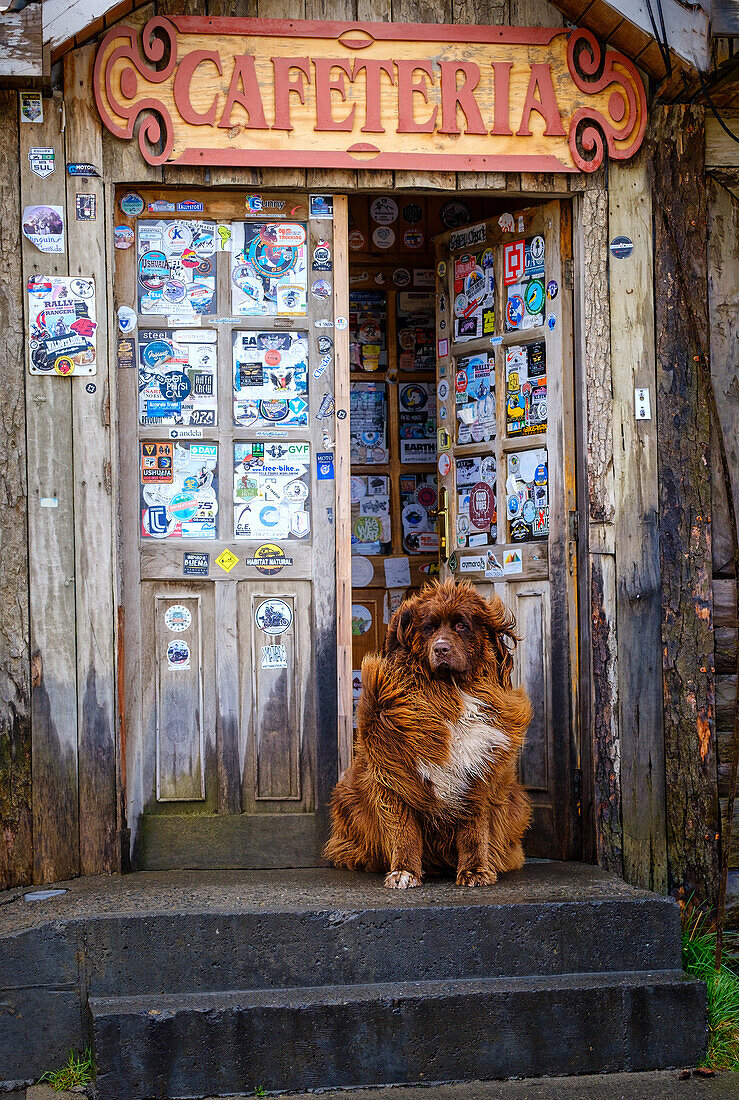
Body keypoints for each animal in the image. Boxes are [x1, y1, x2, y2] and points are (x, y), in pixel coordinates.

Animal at [325, 580, 532, 888]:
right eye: (429, 628)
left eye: (461, 625)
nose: (441, 648)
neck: (450, 693)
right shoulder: (394, 774)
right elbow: (404, 830)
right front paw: (404, 872)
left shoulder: (480, 775)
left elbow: (475, 830)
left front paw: (475, 871)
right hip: (348, 796)